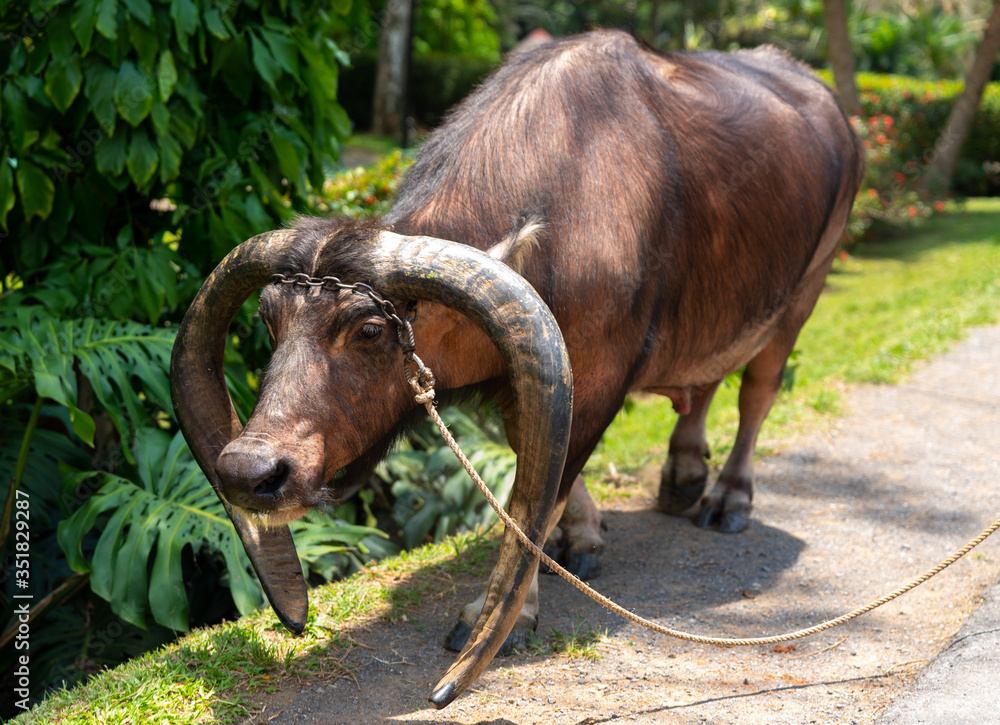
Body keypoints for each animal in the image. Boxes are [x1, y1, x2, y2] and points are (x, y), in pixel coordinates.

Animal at [170, 29, 860, 708]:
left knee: (757, 393)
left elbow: (542, 491)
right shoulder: (533, 375)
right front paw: (581, 540)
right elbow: (536, 469)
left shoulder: (594, 380)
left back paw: (727, 497)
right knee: (708, 377)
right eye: (269, 319)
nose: (249, 470)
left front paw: (505, 612)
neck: (565, 204)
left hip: (806, 291)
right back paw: (685, 475)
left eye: (369, 330)